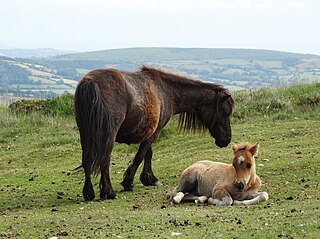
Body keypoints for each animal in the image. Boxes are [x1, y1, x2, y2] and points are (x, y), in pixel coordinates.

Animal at [75, 65, 235, 200]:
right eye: (226, 112)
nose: (227, 139)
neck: (166, 91)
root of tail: (90, 82)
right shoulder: (155, 132)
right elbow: (140, 156)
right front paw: (129, 182)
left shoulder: (151, 132)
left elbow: (148, 154)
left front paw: (149, 178)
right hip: (108, 136)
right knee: (105, 160)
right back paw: (108, 192)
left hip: (85, 134)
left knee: (87, 159)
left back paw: (88, 193)